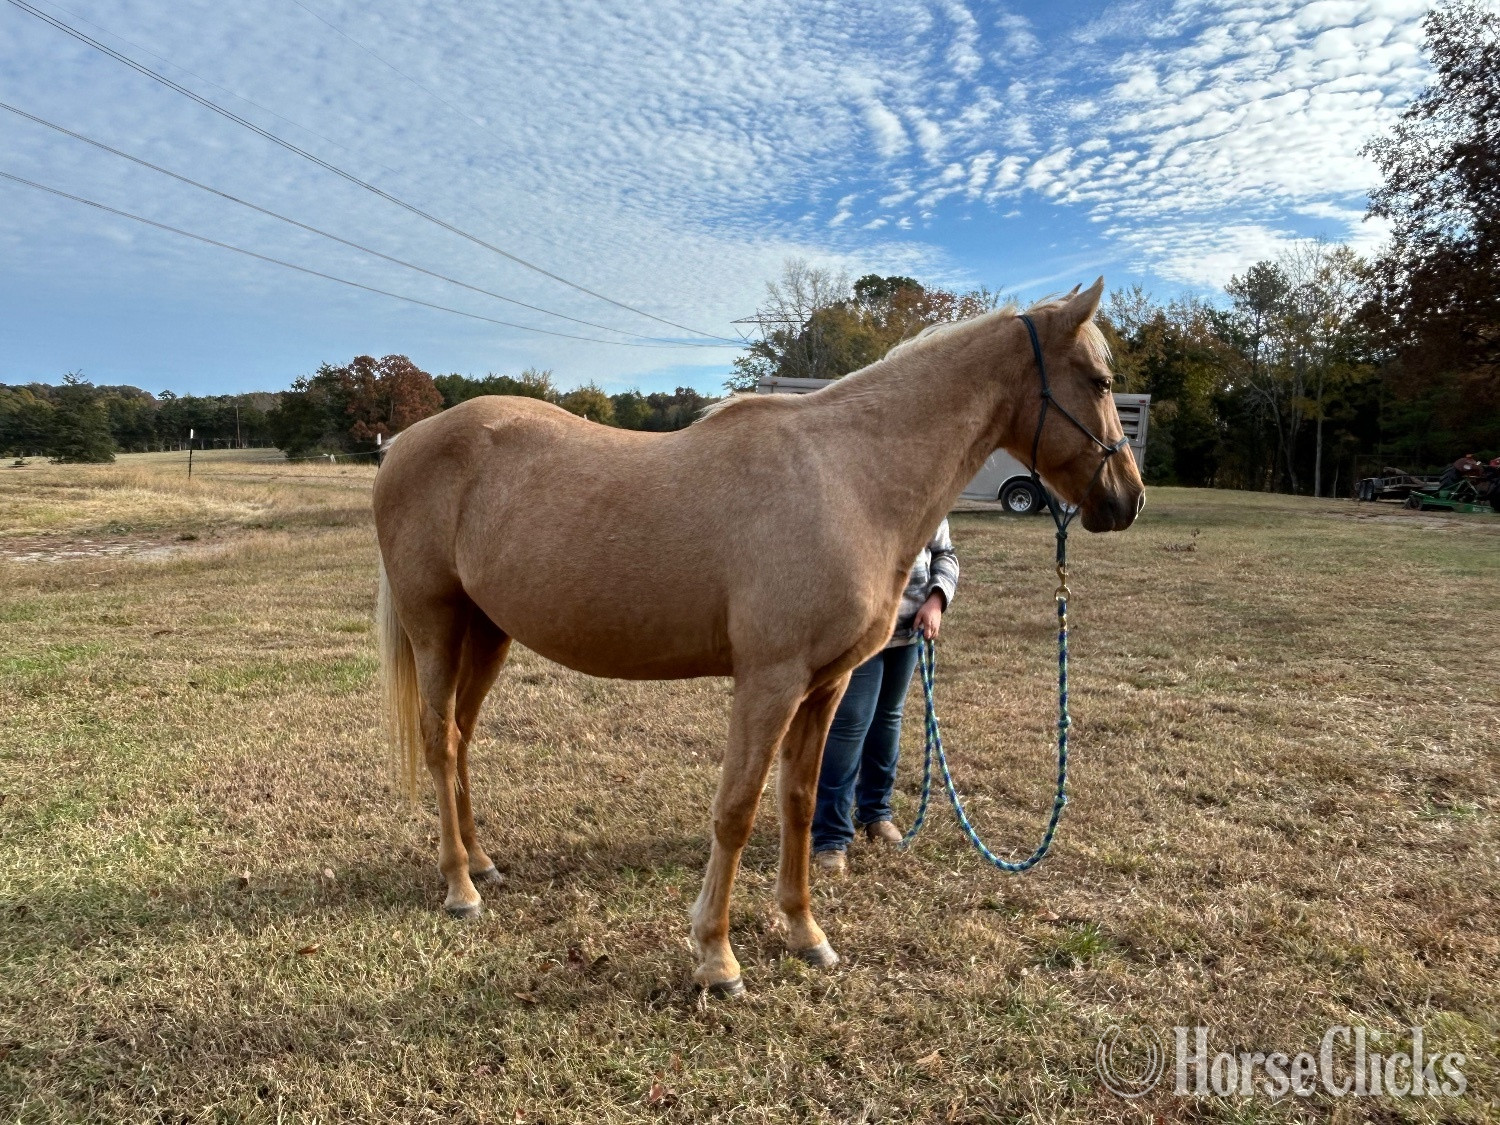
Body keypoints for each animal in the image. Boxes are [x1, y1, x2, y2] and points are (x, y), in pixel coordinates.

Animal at [373, 279, 1144, 995]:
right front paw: (717, 957)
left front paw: (805, 932)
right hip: (436, 624)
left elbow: (798, 803)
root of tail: (405, 443)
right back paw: (460, 889)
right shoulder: (769, 682)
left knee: (462, 737)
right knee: (440, 741)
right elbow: (737, 810)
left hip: (487, 632)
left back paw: (482, 864)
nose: (1128, 498)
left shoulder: (825, 685)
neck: (848, 477)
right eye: (1099, 381)